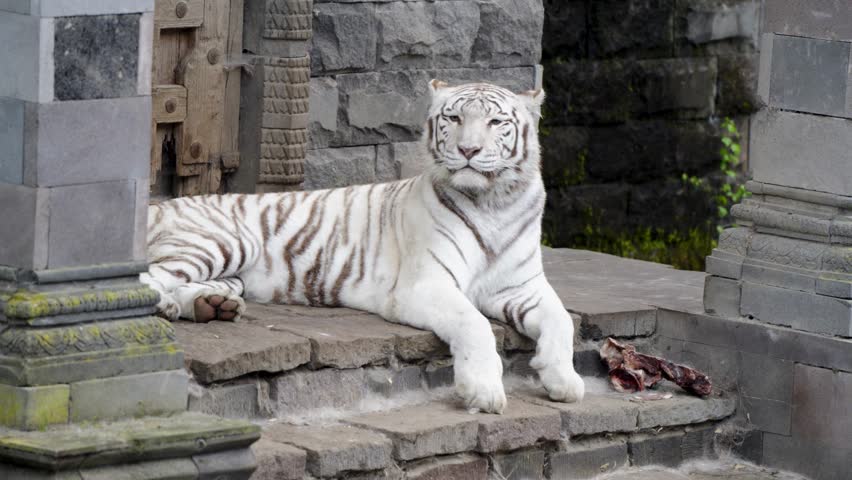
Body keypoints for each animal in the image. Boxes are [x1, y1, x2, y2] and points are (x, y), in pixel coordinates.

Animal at [141, 80, 585, 414]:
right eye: (455, 118)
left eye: (495, 122)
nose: (468, 151)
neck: (494, 202)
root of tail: (155, 205)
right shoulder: (426, 285)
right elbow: (474, 323)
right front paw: (484, 391)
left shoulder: (522, 287)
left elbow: (562, 320)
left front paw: (564, 380)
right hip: (222, 242)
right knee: (150, 279)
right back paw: (168, 307)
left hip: (233, 273)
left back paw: (210, 307)